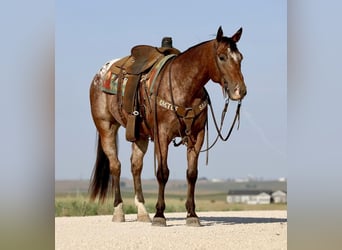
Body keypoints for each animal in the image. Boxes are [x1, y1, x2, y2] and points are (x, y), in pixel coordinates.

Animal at [89, 26, 247, 226]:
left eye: (240, 57)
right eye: (222, 57)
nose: (240, 91)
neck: (184, 85)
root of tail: (100, 74)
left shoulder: (197, 136)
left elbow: (192, 174)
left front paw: (192, 215)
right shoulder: (162, 135)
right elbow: (163, 173)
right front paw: (159, 215)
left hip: (140, 135)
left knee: (136, 167)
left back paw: (142, 213)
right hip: (106, 127)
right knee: (115, 166)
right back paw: (119, 212)